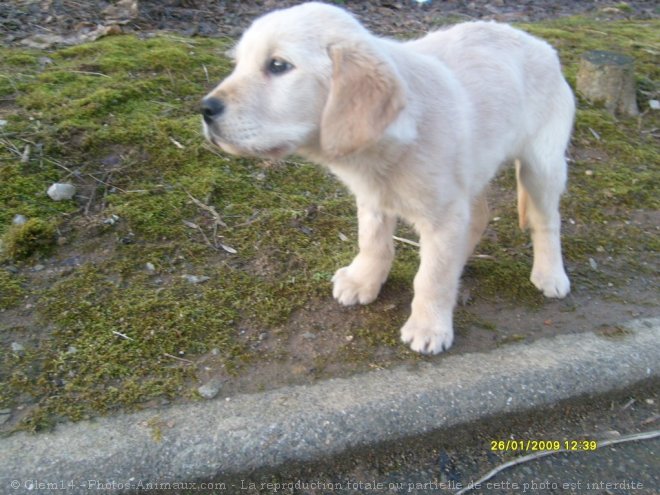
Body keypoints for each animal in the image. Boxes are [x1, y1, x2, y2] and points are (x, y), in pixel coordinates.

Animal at [200, 1, 572, 354]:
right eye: (238, 63)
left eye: (277, 65)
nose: (204, 109)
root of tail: (541, 45)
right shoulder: (373, 197)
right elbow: (373, 243)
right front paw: (363, 280)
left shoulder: (443, 213)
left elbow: (432, 277)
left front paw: (428, 326)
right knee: (479, 216)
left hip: (542, 164)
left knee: (547, 221)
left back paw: (549, 273)